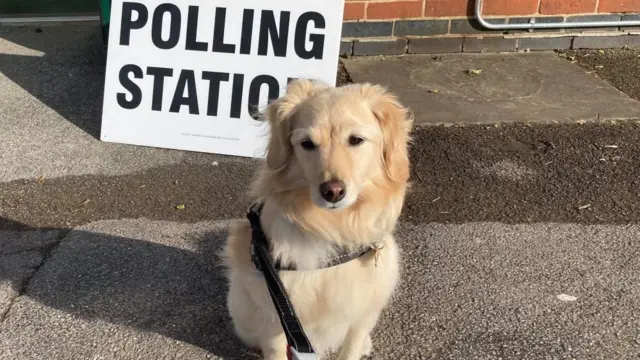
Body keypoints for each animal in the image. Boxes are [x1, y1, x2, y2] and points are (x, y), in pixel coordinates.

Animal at [222, 79, 412, 360]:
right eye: (307, 144)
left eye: (356, 140)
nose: (332, 191)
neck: (333, 230)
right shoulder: (275, 316)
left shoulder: (362, 313)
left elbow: (351, 347)